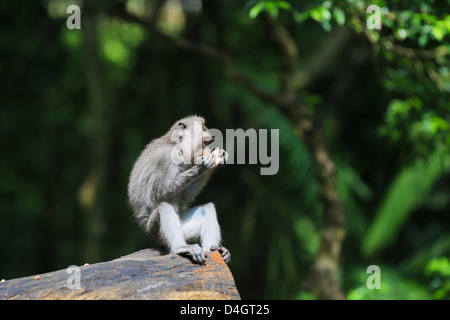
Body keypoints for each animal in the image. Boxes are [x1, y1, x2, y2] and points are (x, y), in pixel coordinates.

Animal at [128, 114, 230, 264]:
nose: (207, 150)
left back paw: (212, 248)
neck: (178, 146)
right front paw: (202, 166)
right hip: (156, 232)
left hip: (184, 228)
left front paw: (220, 157)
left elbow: (184, 196)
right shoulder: (165, 158)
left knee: (208, 208)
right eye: (204, 142)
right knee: (163, 207)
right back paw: (180, 247)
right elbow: (160, 193)